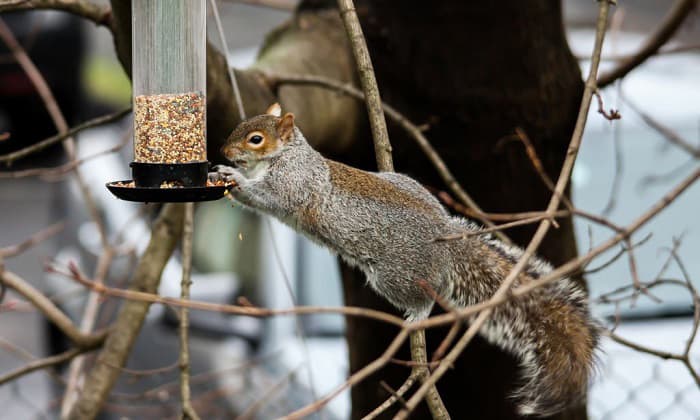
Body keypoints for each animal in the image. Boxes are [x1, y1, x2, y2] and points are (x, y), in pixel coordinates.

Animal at [211, 104, 600, 416]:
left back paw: (417, 314)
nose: (224, 150)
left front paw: (234, 177)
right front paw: (218, 172)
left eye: (256, 139)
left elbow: (268, 197)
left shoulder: (293, 183)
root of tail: (443, 237)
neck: (287, 154)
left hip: (393, 276)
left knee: (422, 298)